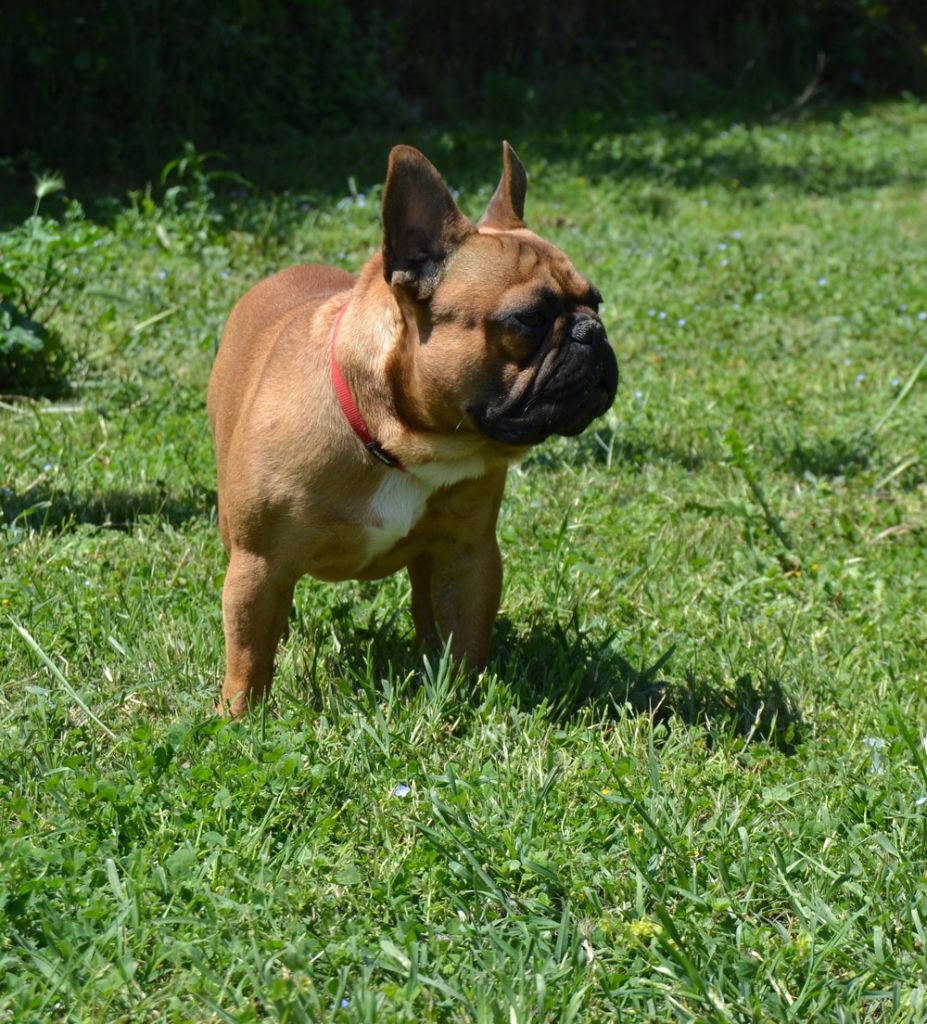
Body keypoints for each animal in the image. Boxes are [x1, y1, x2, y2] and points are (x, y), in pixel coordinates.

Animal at [208, 142, 618, 714]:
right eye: (528, 319)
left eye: (595, 302)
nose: (592, 333)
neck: (396, 441)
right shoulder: (259, 564)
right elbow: (248, 651)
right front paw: (241, 716)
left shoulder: (467, 555)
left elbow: (466, 635)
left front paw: (463, 697)